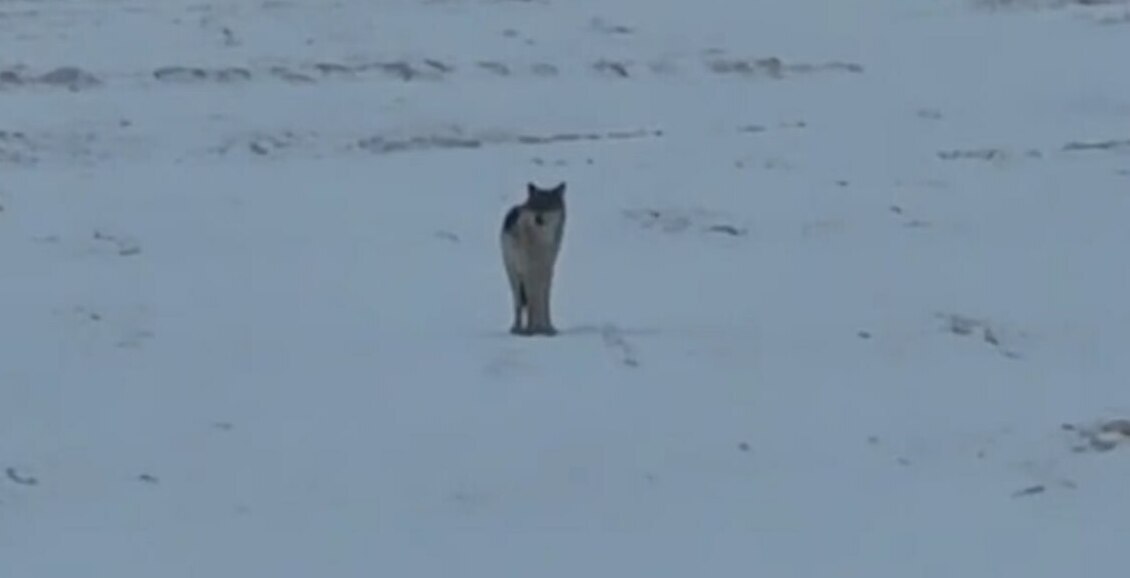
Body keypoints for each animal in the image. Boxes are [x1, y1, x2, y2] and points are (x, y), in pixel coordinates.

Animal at [501, 182, 565, 336]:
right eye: (535, 205)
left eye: (548, 206)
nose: (538, 218)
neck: (540, 242)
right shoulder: (528, 271)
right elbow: (532, 301)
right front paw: (531, 330)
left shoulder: (547, 270)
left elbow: (544, 300)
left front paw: (548, 328)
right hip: (513, 275)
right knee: (519, 303)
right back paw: (517, 328)